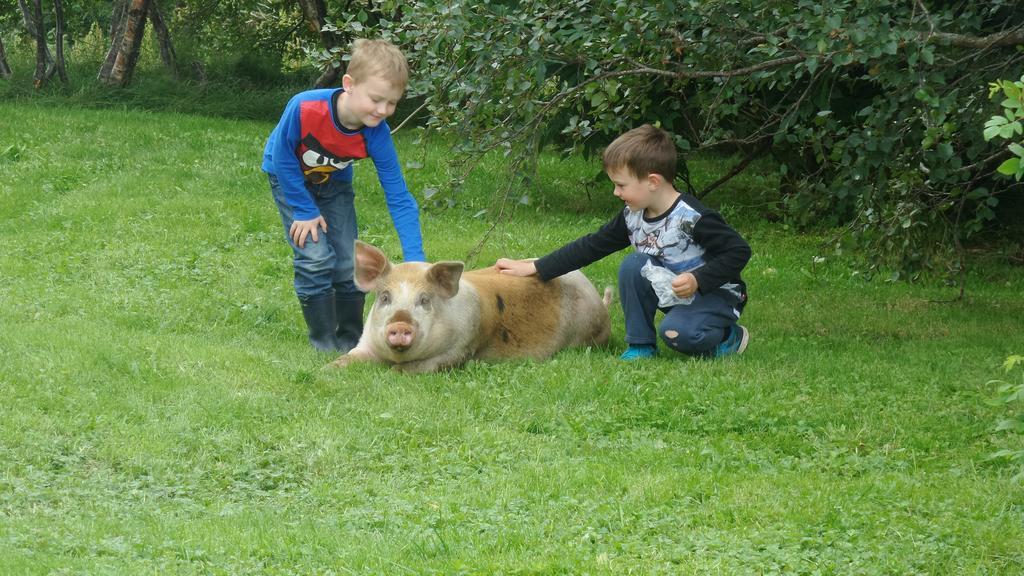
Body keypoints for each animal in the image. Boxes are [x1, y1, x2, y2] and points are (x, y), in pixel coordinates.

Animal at [331, 238, 610, 368]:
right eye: (385, 297)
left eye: (424, 300)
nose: (400, 324)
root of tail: (600, 301)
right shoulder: (365, 344)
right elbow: (345, 359)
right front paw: (326, 370)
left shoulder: (460, 350)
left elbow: (412, 368)